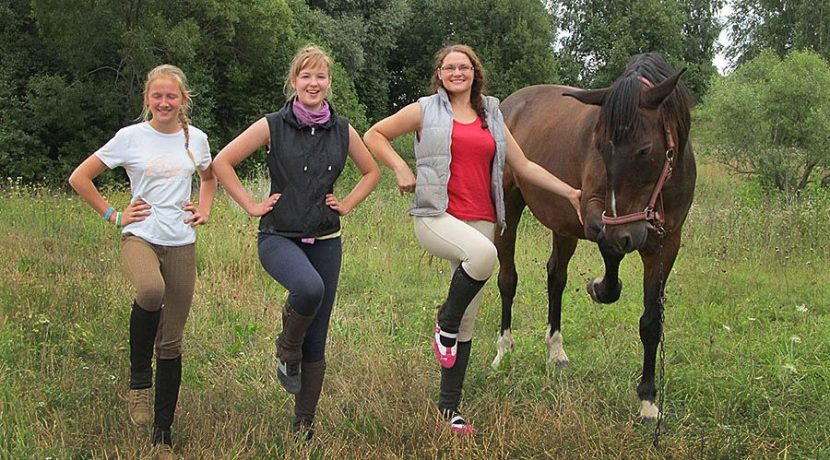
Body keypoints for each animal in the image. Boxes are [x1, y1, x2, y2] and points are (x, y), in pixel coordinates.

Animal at [494, 53, 696, 420]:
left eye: (644, 150)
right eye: (599, 147)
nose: (628, 234)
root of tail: (510, 104)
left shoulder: (666, 244)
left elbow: (651, 321)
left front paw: (648, 400)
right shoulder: (598, 219)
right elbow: (611, 266)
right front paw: (598, 287)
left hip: (563, 225)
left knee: (555, 277)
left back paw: (556, 351)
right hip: (510, 209)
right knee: (507, 280)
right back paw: (503, 351)